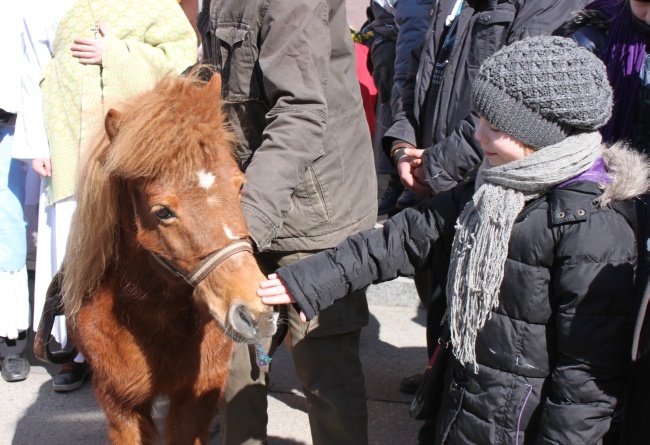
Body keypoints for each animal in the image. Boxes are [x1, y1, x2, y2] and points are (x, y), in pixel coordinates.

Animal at [40, 71, 274, 442]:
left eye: (239, 185)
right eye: (162, 211)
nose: (255, 313)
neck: (154, 316)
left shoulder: (197, 395)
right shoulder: (120, 403)